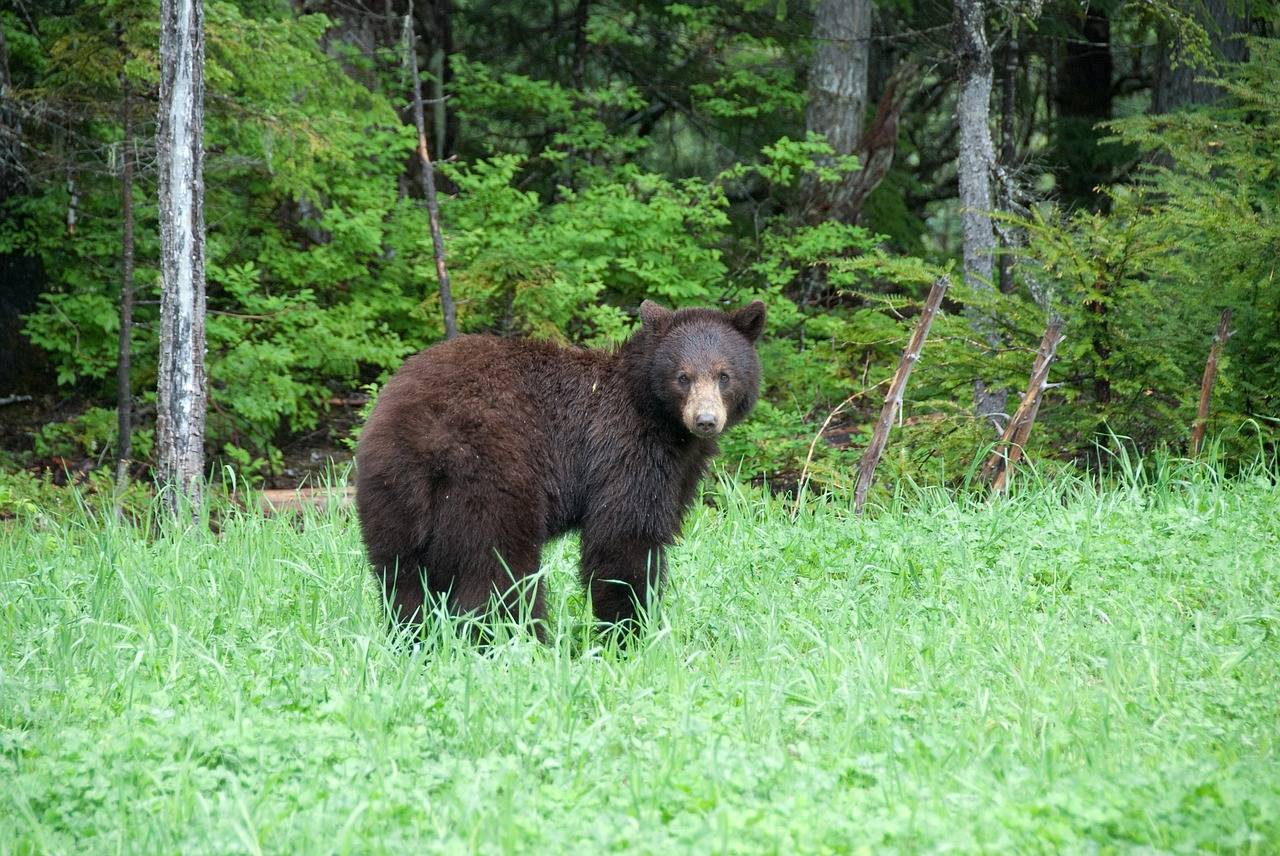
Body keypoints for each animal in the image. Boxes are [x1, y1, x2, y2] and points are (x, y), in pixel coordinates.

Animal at [354, 299, 765, 639]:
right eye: (683, 377)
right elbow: (624, 540)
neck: (657, 414)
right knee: (500, 572)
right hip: (491, 476)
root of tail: (422, 436)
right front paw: (627, 632)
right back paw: (520, 642)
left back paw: (412, 638)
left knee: (401, 576)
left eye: (723, 375)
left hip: (390, 492)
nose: (706, 420)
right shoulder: (625, 450)